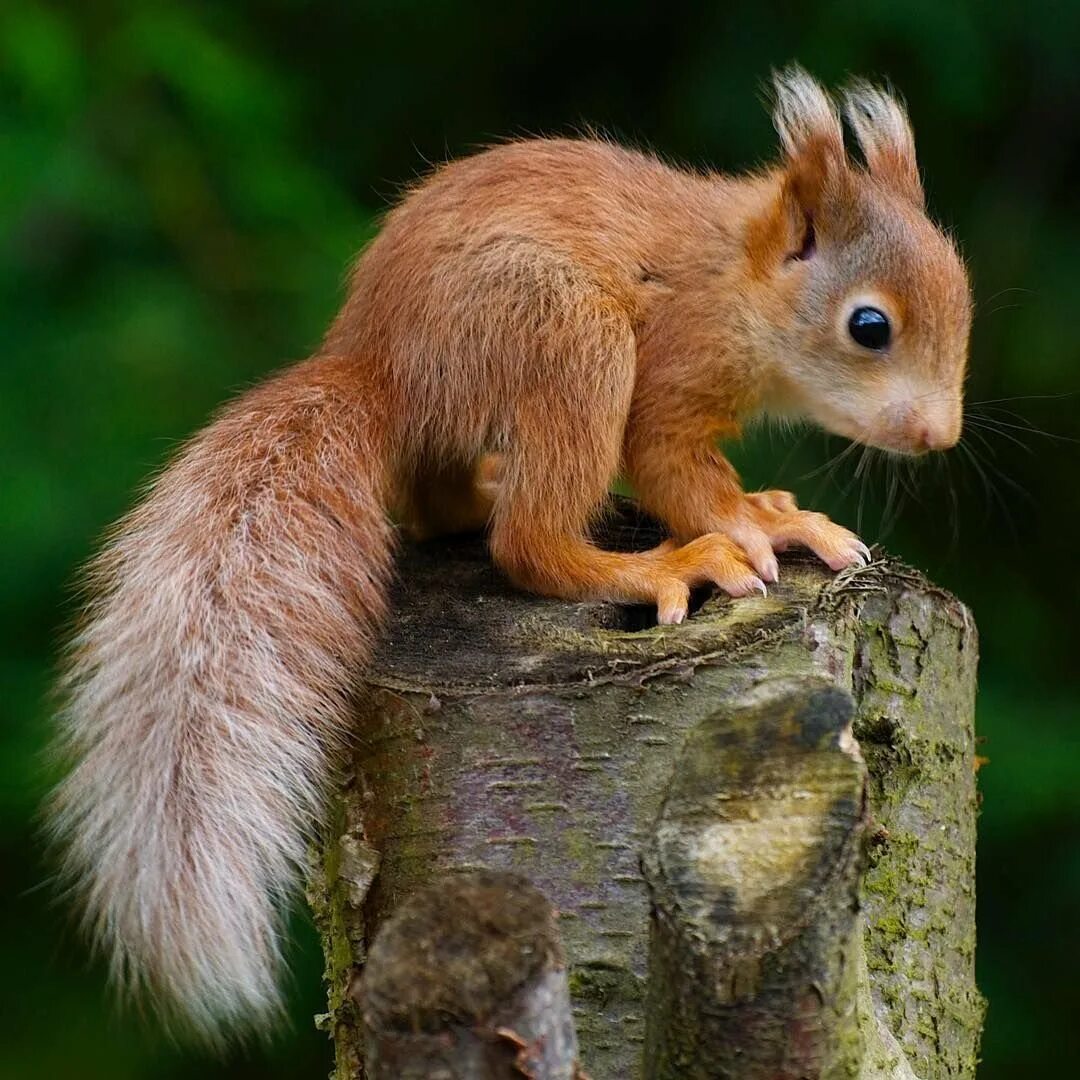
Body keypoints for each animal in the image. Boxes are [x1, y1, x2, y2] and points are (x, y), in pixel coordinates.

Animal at [48, 69, 972, 1036]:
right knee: (526, 544)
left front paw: (771, 507)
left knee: (437, 507)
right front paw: (763, 527)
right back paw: (655, 565)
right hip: (566, 337)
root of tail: (378, 365)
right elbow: (673, 465)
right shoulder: (676, 365)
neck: (739, 277)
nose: (939, 435)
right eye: (869, 326)